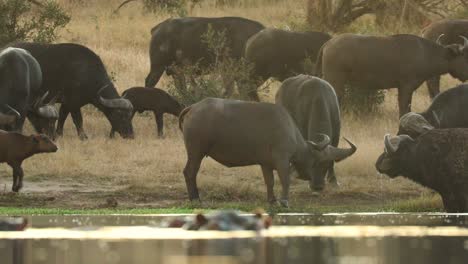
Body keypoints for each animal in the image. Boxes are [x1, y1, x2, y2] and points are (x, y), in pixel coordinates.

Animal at [178, 98, 354, 207]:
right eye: (320, 161)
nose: (318, 185)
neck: (289, 131)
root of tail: (193, 107)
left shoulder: (265, 164)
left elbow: (270, 181)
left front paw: (272, 200)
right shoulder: (282, 161)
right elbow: (285, 180)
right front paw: (284, 201)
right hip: (196, 153)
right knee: (189, 172)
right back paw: (195, 198)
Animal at [314, 33, 468, 116]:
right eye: (465, 56)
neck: (425, 54)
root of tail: (329, 43)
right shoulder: (406, 88)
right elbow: (404, 109)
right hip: (335, 81)